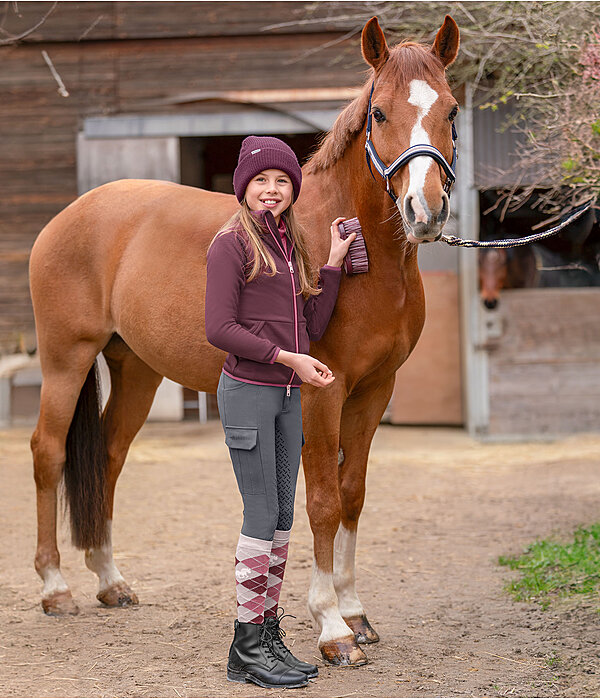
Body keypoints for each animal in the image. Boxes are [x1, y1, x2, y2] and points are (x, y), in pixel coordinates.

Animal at [29, 13, 460, 664]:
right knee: (48, 452)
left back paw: (110, 581)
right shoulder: (322, 392)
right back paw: (56, 588)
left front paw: (356, 612)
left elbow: (353, 494)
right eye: (381, 112)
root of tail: (70, 215)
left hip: (135, 369)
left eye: (452, 111)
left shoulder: (374, 391)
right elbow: (323, 500)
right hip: (66, 359)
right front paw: (332, 628)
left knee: (107, 455)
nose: (425, 211)